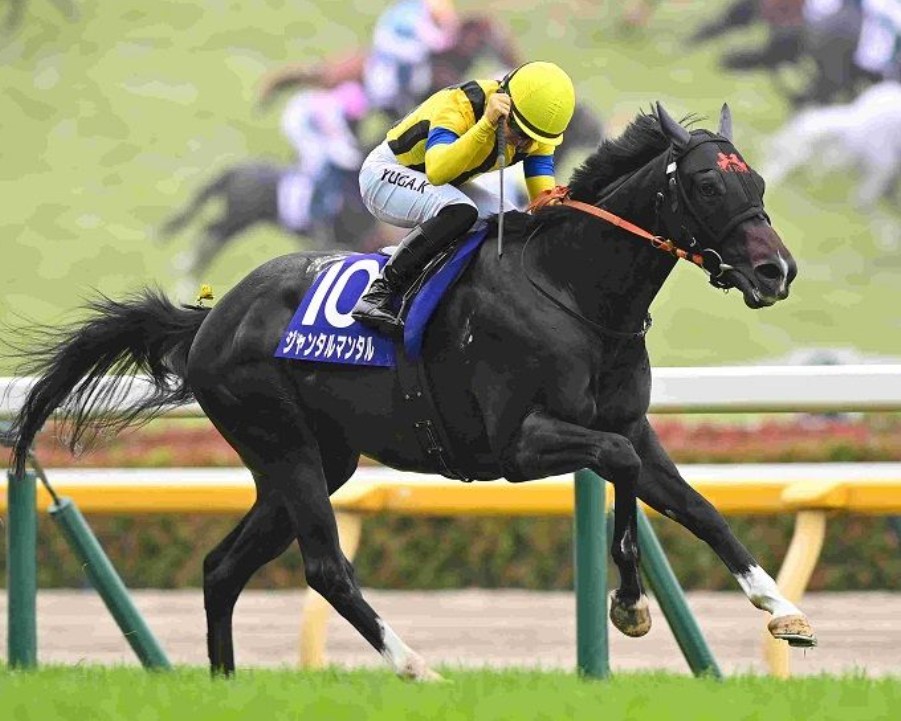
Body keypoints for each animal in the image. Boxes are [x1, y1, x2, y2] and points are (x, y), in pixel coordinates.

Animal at [8, 102, 812, 680]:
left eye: (758, 185)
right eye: (707, 184)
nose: (776, 273)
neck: (572, 290)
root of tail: (211, 316)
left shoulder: (633, 423)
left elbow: (695, 506)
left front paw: (780, 607)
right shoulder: (517, 444)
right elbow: (616, 464)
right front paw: (629, 602)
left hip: (312, 460)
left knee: (220, 567)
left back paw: (225, 682)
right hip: (284, 444)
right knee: (325, 567)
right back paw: (414, 666)